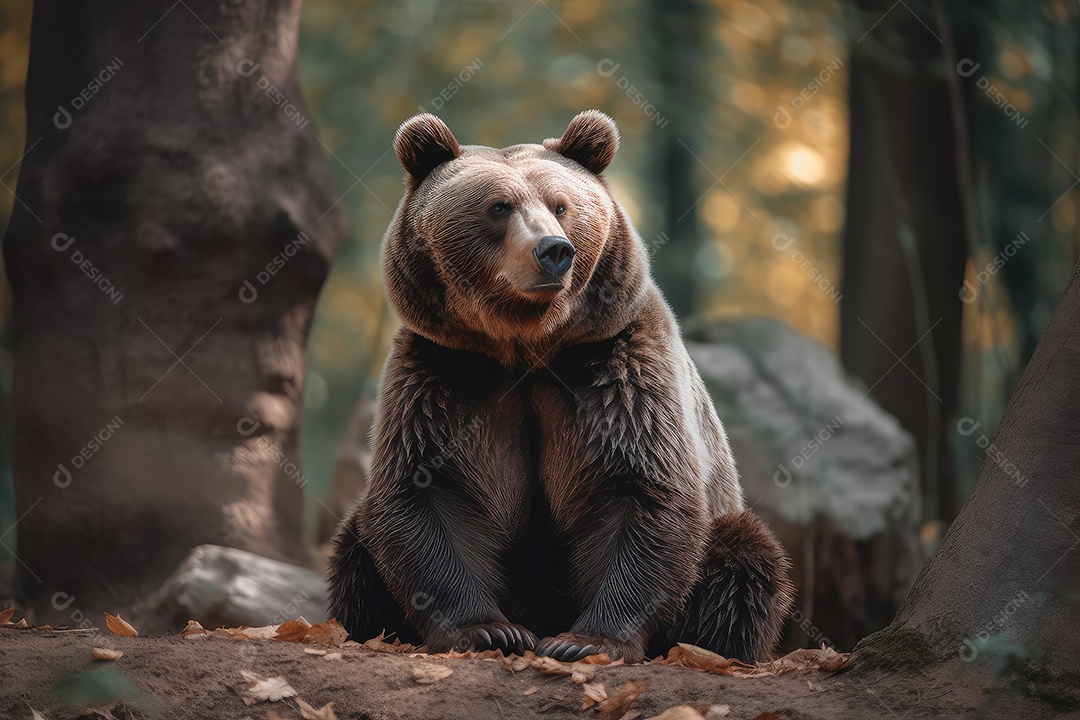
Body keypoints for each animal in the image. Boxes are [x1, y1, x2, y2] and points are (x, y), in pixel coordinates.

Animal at [327, 110, 794, 663]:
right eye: (498, 207)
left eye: (561, 205)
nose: (553, 251)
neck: (528, 348)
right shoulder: (443, 375)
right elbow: (426, 492)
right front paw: (490, 631)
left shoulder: (616, 369)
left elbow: (642, 488)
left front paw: (586, 640)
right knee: (353, 548)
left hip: (725, 529)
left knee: (745, 558)